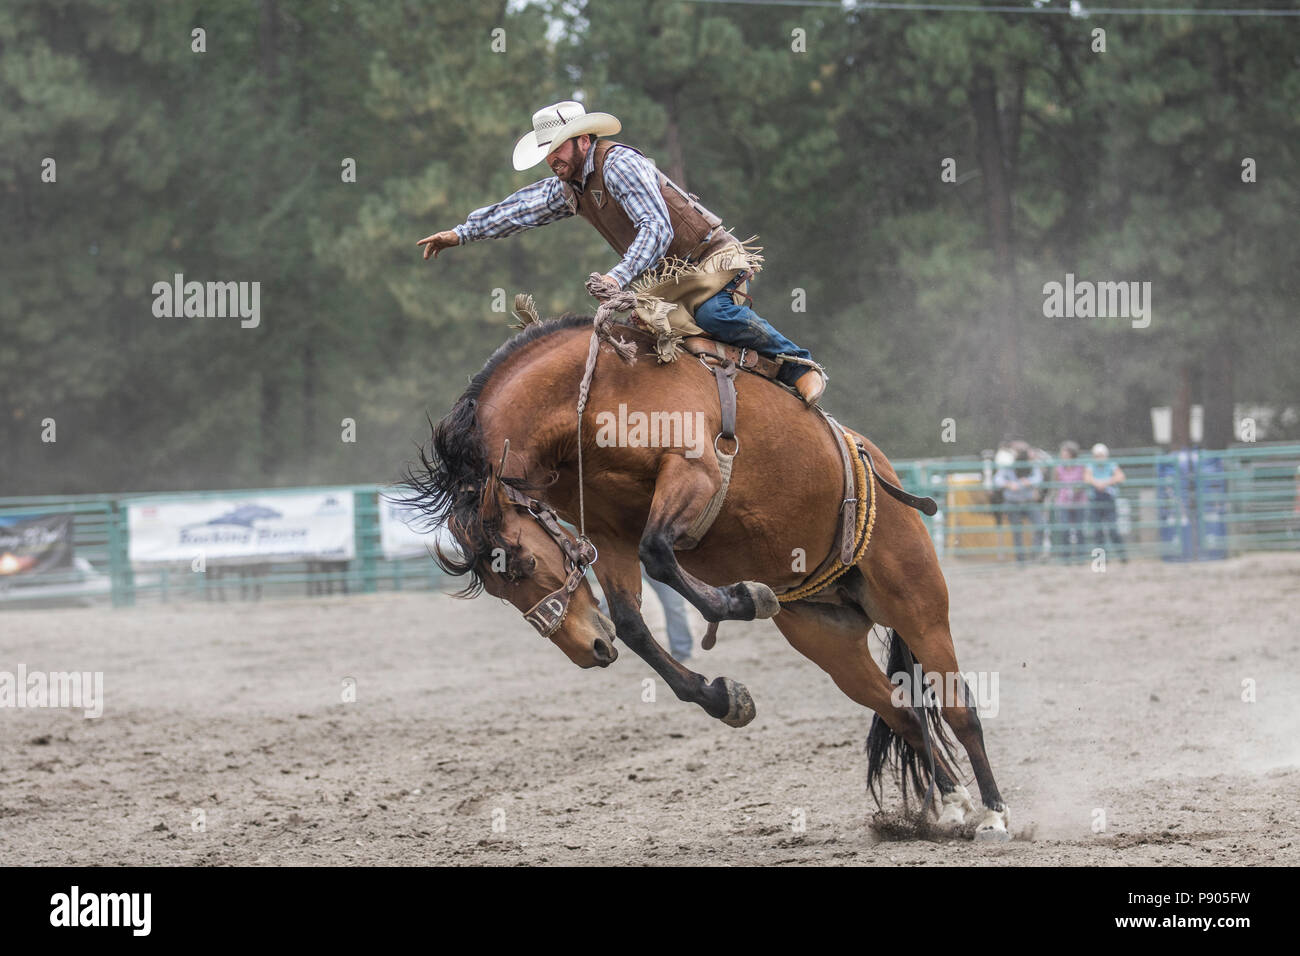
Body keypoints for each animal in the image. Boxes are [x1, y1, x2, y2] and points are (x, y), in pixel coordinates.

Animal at [405, 303, 1013, 842]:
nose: (584, 649)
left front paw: (745, 599)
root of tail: (879, 467)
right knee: (904, 712)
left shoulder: (693, 470)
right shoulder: (609, 532)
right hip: (830, 640)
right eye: (497, 588)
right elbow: (632, 622)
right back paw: (954, 806)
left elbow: (660, 553)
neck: (593, 395)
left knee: (960, 709)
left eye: (525, 561)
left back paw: (993, 815)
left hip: (918, 604)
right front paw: (725, 698)